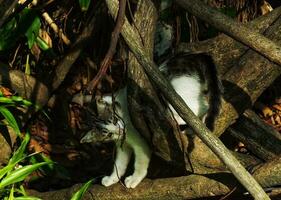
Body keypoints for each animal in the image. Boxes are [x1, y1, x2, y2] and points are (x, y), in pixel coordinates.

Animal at [74, 52, 221, 188]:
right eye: (107, 134)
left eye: (114, 119)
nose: (120, 129)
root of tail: (194, 56)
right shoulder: (124, 144)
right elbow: (119, 163)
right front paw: (112, 179)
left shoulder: (141, 142)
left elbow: (140, 163)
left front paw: (134, 179)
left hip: (177, 93)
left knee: (197, 108)